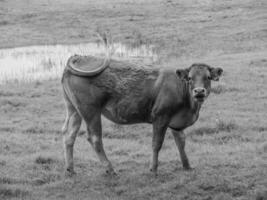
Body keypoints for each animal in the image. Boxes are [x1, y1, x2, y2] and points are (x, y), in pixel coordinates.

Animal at [61, 54, 224, 175]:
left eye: (208, 77)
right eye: (190, 78)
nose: (199, 91)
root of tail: (80, 57)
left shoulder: (175, 122)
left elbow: (181, 143)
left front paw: (187, 166)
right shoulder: (161, 117)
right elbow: (156, 144)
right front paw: (153, 169)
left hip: (74, 110)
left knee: (69, 136)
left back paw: (70, 169)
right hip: (90, 111)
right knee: (95, 139)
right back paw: (110, 169)